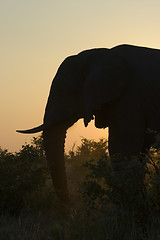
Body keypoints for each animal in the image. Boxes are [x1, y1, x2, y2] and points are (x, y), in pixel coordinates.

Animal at [16, 44, 160, 203]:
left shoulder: (130, 98)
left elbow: (122, 149)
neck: (100, 54)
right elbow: (139, 151)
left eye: (68, 92)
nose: (70, 205)